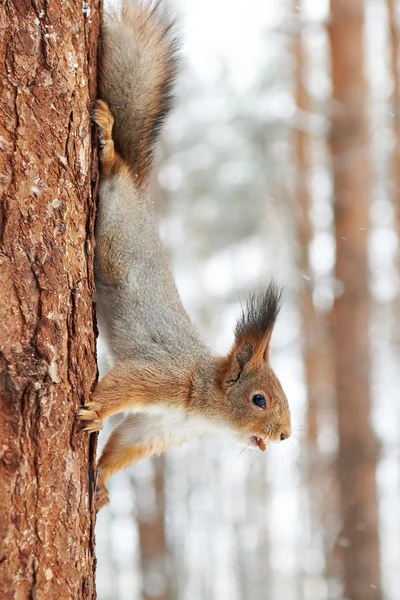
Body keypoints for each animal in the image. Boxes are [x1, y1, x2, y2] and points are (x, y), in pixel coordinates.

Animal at [78, 0, 290, 508]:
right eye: (259, 400)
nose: (286, 435)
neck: (202, 408)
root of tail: (137, 187)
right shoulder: (161, 377)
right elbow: (120, 385)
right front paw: (95, 411)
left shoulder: (159, 427)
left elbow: (124, 446)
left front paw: (103, 483)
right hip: (113, 217)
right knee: (113, 165)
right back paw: (108, 139)